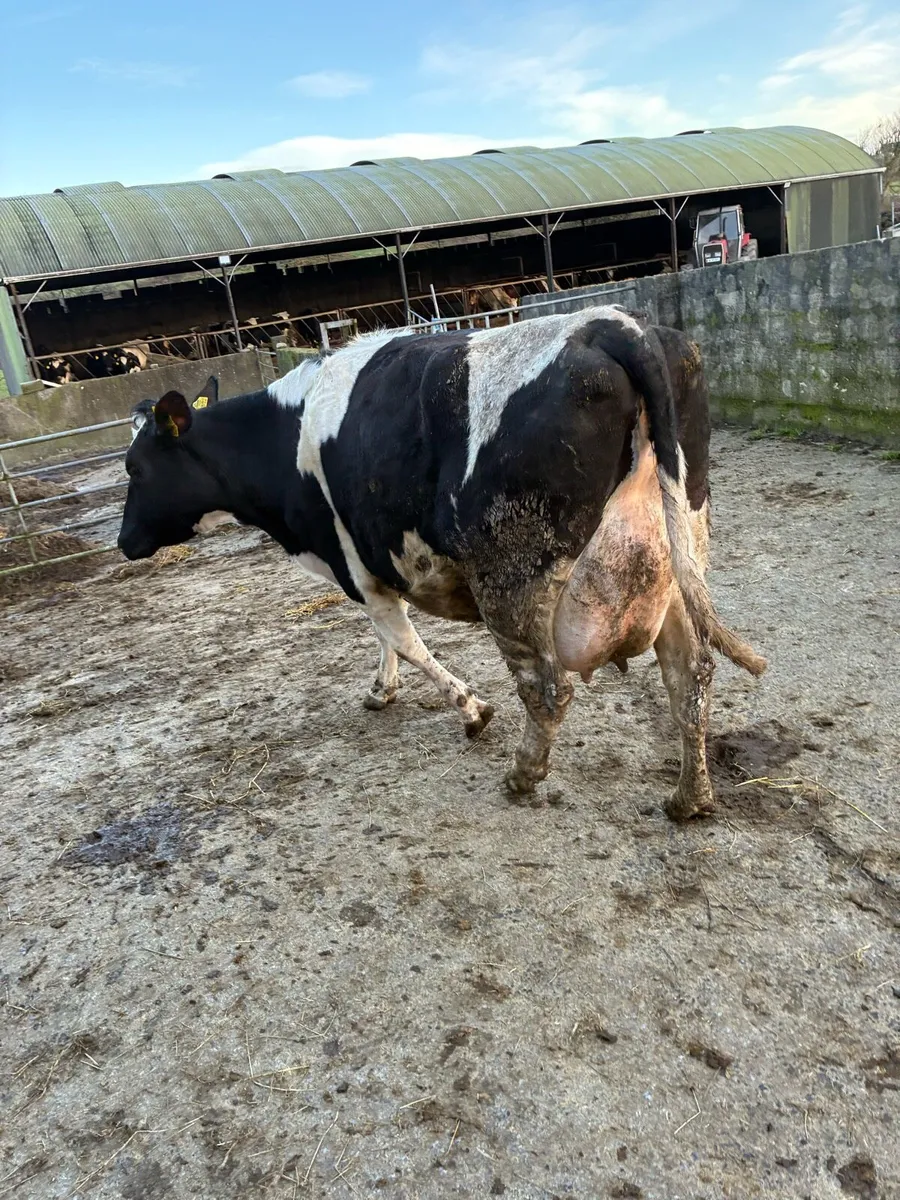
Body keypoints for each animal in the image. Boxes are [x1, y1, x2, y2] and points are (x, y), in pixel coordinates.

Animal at [119, 306, 766, 820]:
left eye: (136, 468)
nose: (124, 542)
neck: (285, 436)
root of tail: (610, 322)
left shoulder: (354, 567)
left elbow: (402, 639)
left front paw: (472, 710)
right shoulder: (371, 568)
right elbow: (386, 638)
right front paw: (383, 690)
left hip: (514, 575)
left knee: (548, 688)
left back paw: (522, 776)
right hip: (679, 554)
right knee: (691, 676)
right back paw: (690, 798)